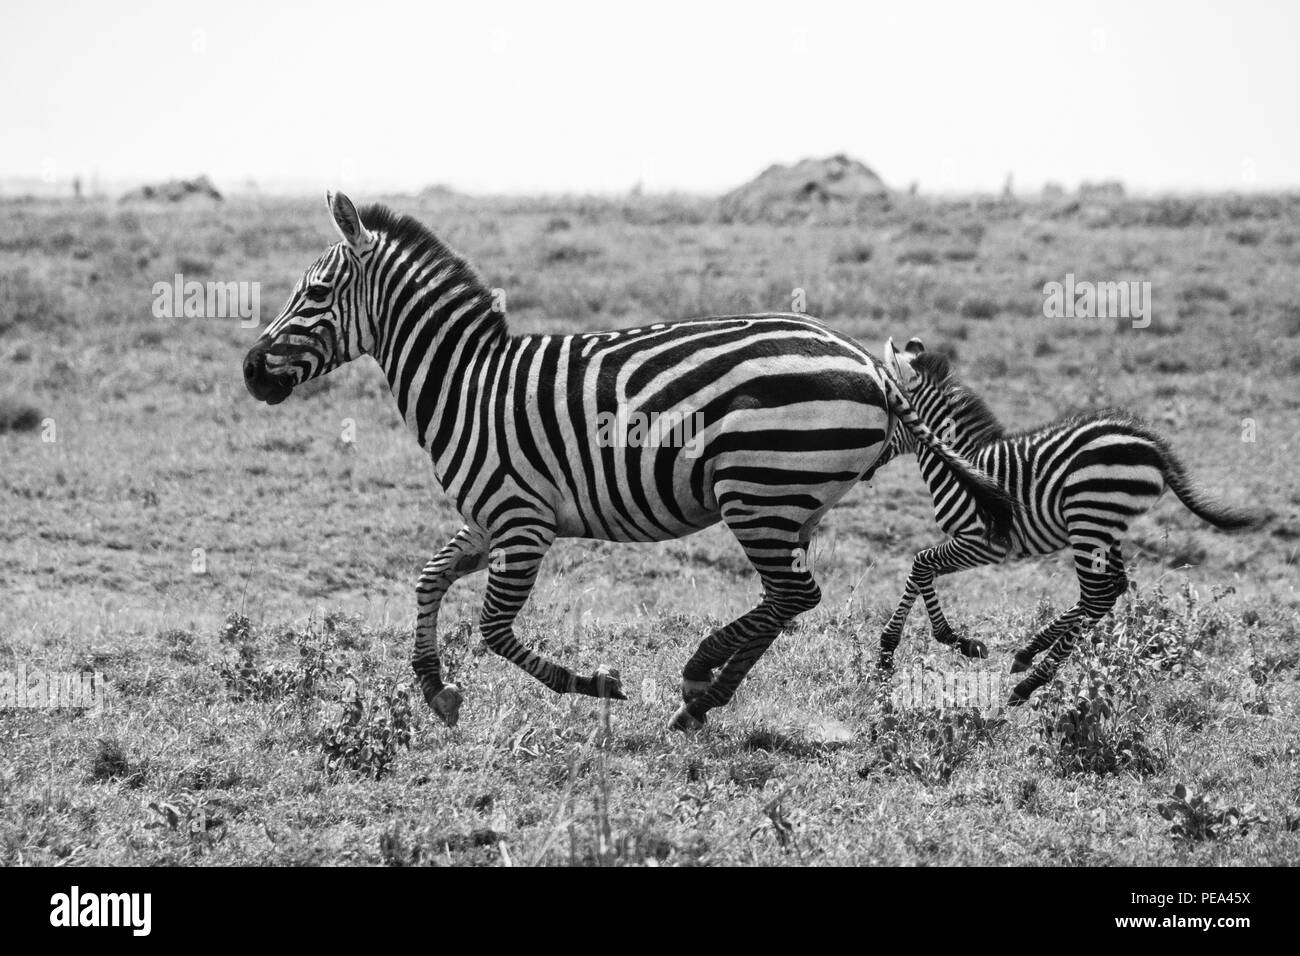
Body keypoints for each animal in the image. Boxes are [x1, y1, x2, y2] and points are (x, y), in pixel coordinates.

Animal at [244, 196, 1013, 733]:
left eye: (314, 294)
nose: (250, 372)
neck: (466, 383)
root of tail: (869, 365)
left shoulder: (520, 520)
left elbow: (494, 629)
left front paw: (595, 684)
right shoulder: (491, 518)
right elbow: (430, 577)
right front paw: (435, 687)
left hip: (757, 487)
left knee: (794, 595)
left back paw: (701, 679)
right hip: (791, 498)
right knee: (785, 598)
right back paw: (703, 693)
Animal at [873, 335, 1258, 702]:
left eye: (886, 408)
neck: (957, 462)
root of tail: (1153, 445)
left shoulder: (983, 542)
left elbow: (921, 564)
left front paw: (910, 647)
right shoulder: (972, 542)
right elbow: (922, 571)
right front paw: (931, 645)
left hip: (1089, 520)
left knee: (1097, 596)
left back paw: (1030, 682)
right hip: (1103, 528)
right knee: (1111, 589)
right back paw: (1031, 650)